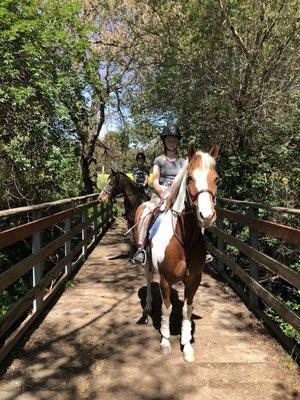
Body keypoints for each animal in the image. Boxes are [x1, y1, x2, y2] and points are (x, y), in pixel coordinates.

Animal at [134, 144, 218, 362]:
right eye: (189, 178)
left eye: (216, 178)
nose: (207, 216)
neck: (184, 240)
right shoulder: (165, 279)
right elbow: (167, 308)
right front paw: (165, 341)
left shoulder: (194, 280)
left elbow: (187, 311)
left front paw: (187, 346)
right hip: (147, 263)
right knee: (148, 280)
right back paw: (147, 310)